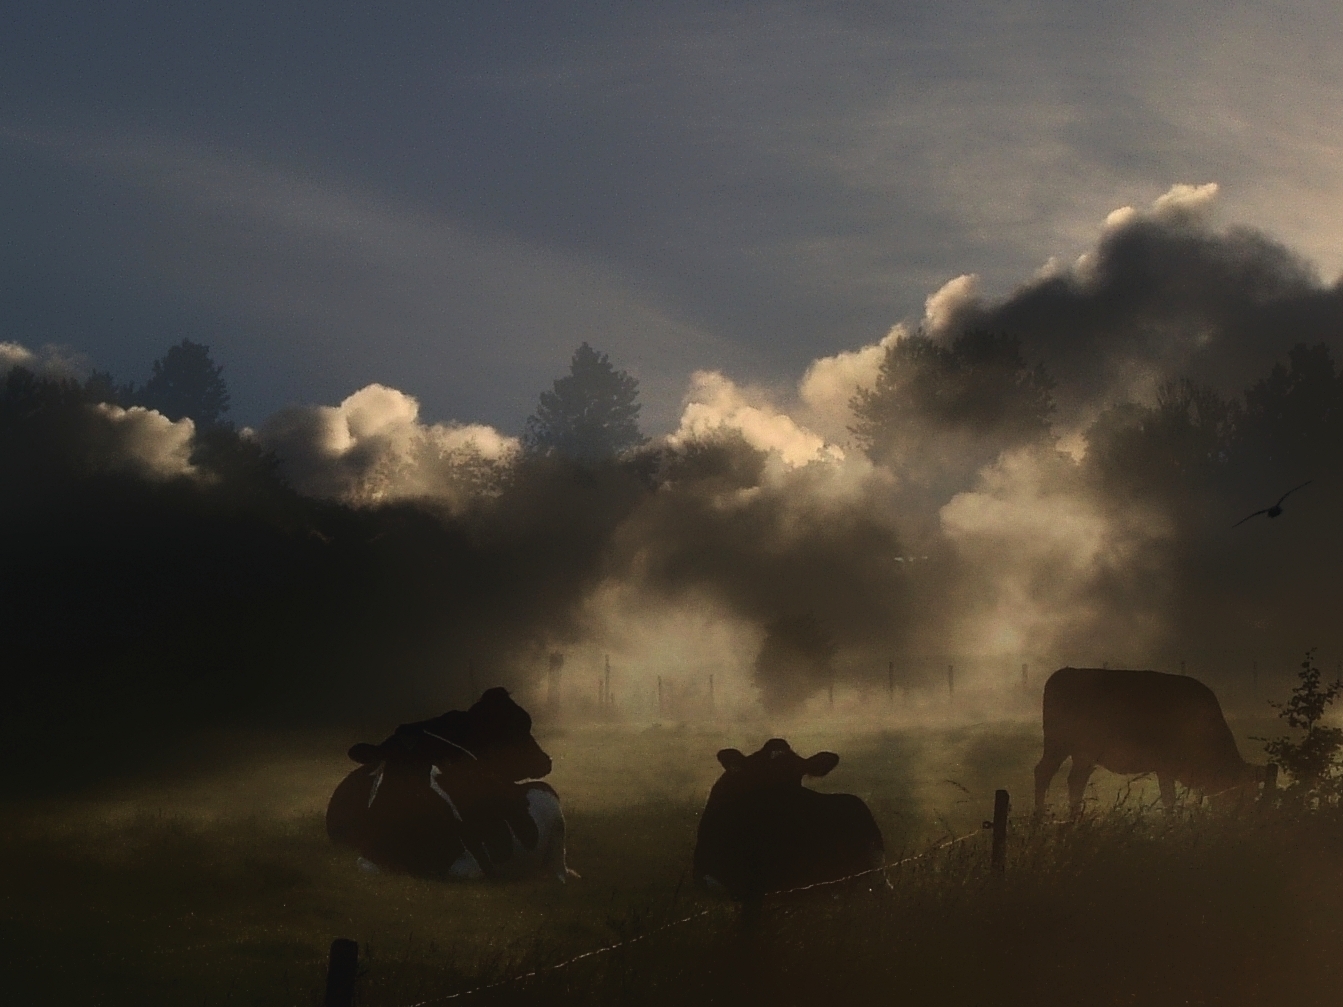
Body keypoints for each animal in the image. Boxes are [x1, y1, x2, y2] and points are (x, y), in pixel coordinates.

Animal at [330, 687, 577, 880]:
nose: (546, 761)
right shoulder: (368, 855)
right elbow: (366, 866)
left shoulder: (476, 863)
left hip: (555, 823)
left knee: (559, 868)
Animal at [1031, 671, 1262, 821]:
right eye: (1246, 795)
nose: (1246, 818)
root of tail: (1062, 673)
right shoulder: (1165, 767)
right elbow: (1169, 799)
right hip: (1058, 745)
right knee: (1043, 773)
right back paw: (1041, 819)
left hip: (1082, 755)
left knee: (1075, 781)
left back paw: (1074, 819)